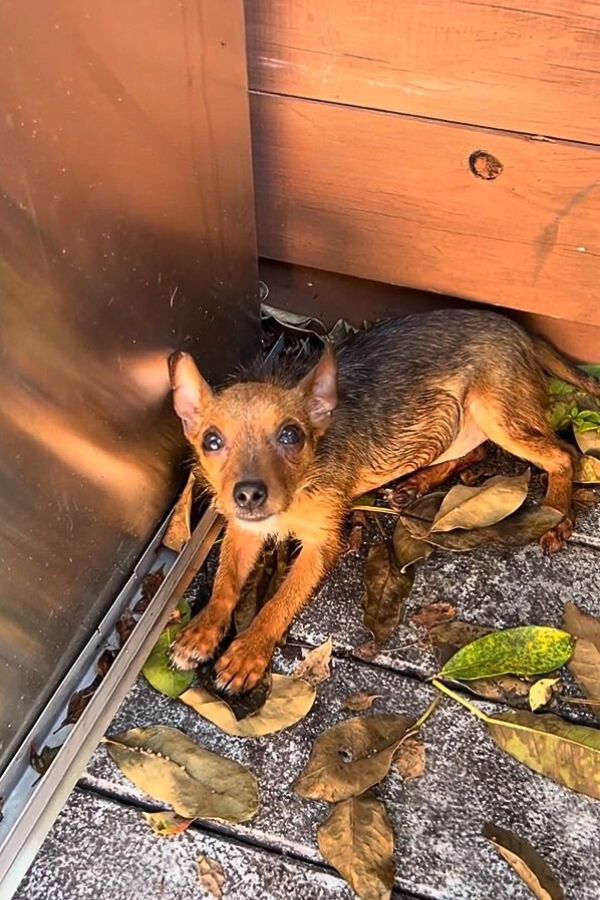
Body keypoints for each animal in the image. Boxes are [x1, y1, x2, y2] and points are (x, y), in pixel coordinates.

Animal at [168, 312, 600, 692]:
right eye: (211, 441)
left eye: (292, 435)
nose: (248, 494)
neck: (300, 486)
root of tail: (520, 330)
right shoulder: (243, 529)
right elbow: (225, 581)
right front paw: (201, 631)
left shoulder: (323, 544)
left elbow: (280, 601)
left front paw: (248, 653)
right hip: (456, 423)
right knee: (476, 451)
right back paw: (416, 483)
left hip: (496, 412)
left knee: (562, 456)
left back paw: (557, 514)